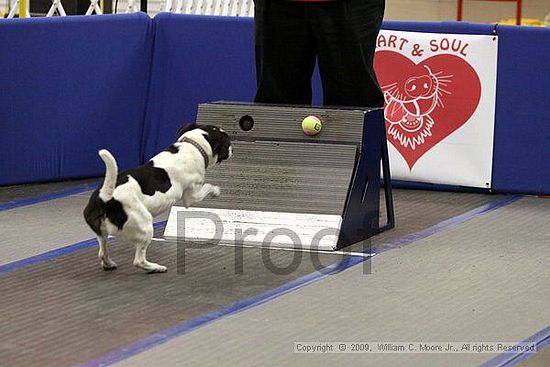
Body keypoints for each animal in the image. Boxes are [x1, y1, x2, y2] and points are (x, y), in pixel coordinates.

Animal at [83, 123, 233, 274]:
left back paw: (109, 264)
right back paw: (156, 267)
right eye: (227, 142)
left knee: (102, 252)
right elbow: (208, 187)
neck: (193, 146)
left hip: (102, 233)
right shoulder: (192, 196)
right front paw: (216, 191)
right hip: (145, 226)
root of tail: (104, 200)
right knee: (138, 261)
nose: (232, 149)